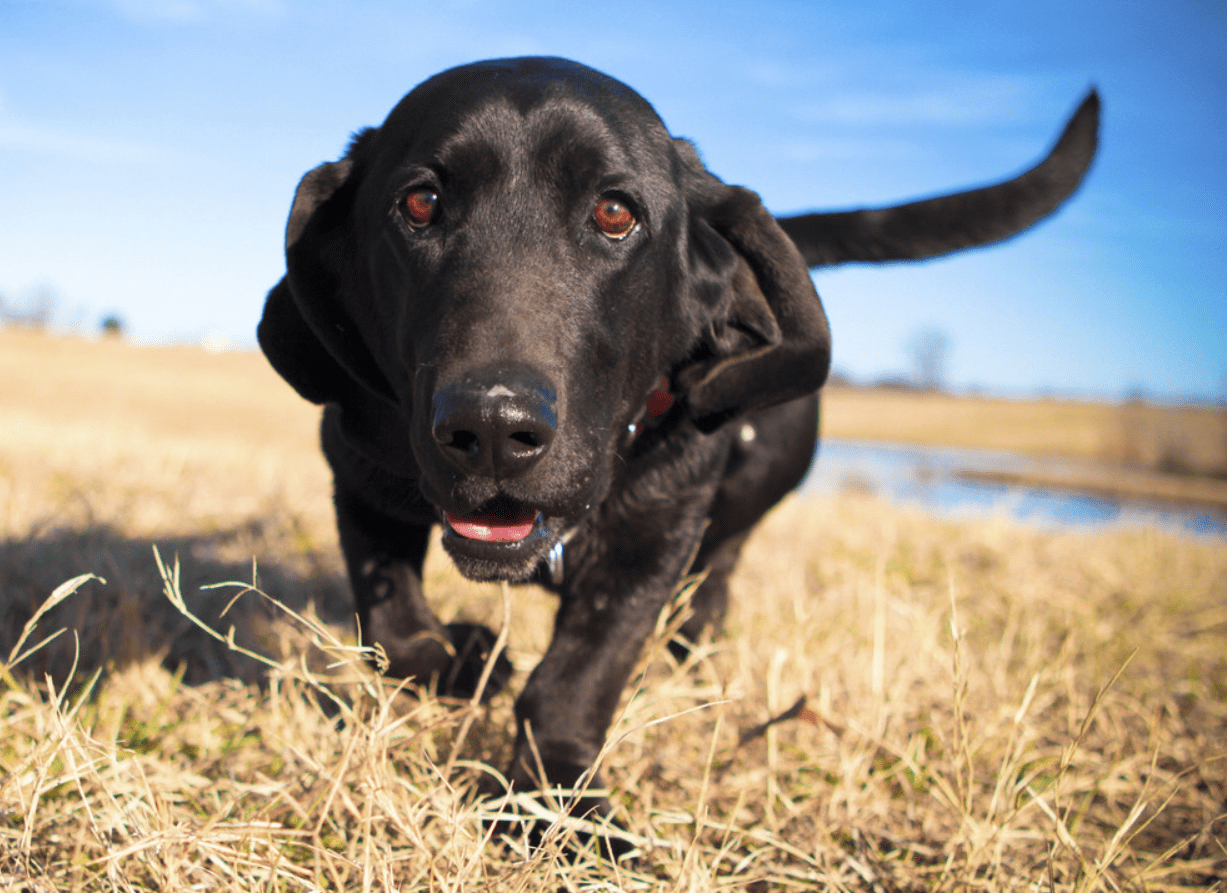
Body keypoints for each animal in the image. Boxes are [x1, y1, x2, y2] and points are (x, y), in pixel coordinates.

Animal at [258, 57, 1104, 814]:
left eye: (614, 213)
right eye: (421, 202)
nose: (492, 427)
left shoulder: (653, 542)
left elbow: (576, 679)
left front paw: (559, 796)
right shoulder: (362, 474)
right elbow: (393, 620)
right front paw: (460, 659)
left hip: (728, 524)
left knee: (709, 593)